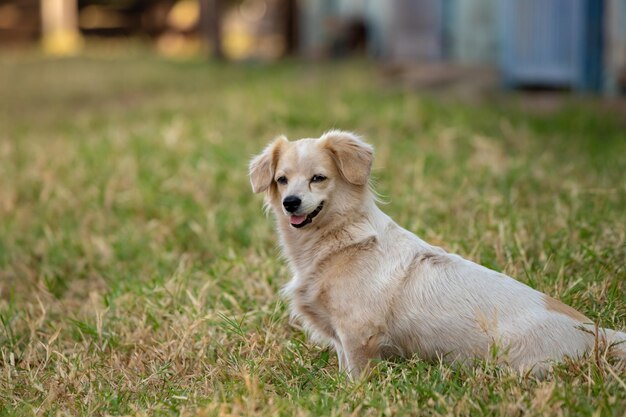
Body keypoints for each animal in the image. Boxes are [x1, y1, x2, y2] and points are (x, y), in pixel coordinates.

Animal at [249, 129, 624, 376]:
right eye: (282, 180)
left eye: (318, 178)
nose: (290, 202)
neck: (339, 239)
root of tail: (597, 333)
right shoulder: (342, 339)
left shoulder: (358, 334)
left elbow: (357, 376)